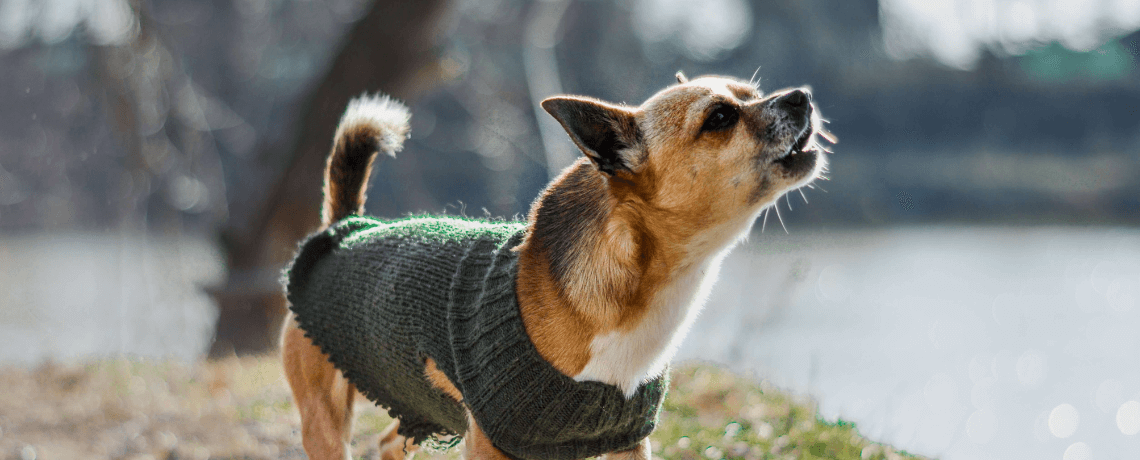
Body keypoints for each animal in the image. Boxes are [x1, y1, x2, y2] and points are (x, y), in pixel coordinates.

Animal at [275, 72, 829, 459]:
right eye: (719, 119)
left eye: (752, 93)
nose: (801, 96)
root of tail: (346, 227)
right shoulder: (492, 446)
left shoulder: (627, 443)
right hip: (326, 419)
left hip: (419, 402)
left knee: (390, 442)